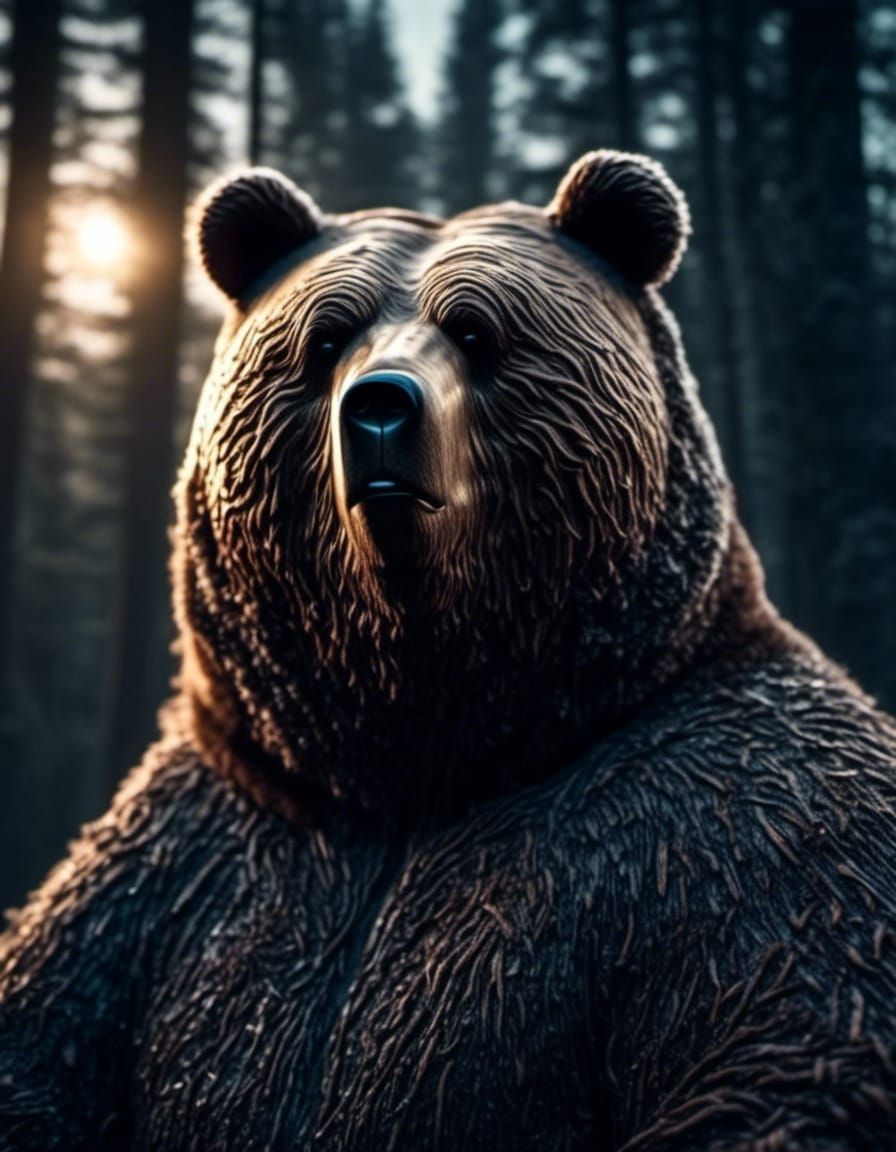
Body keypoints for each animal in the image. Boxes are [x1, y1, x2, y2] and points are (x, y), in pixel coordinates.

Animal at [2, 149, 896, 1151]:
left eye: (475, 329)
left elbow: (792, 1044)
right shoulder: (177, 867)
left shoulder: (738, 830)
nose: (379, 407)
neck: (420, 766)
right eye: (324, 340)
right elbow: (50, 1027)